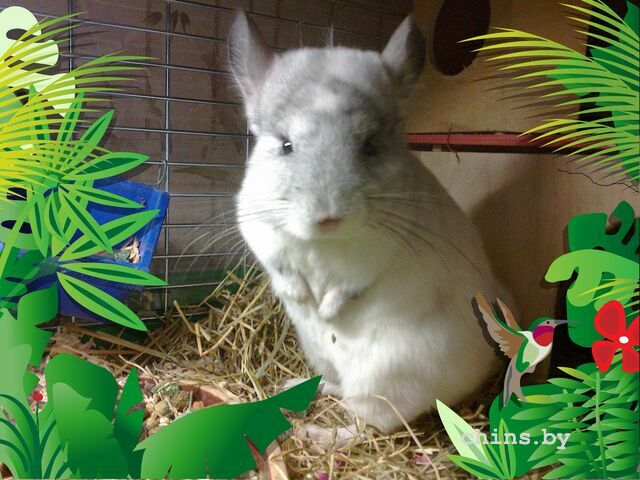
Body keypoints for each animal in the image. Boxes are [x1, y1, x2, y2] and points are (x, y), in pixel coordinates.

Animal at [228, 11, 505, 434]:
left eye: (370, 145)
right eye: (286, 144)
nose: (327, 217)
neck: (323, 244)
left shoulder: (376, 257)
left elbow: (349, 285)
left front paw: (327, 311)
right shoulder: (258, 230)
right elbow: (283, 269)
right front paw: (302, 298)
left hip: (382, 383)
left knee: (365, 426)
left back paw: (314, 431)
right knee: (339, 389)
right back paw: (302, 384)